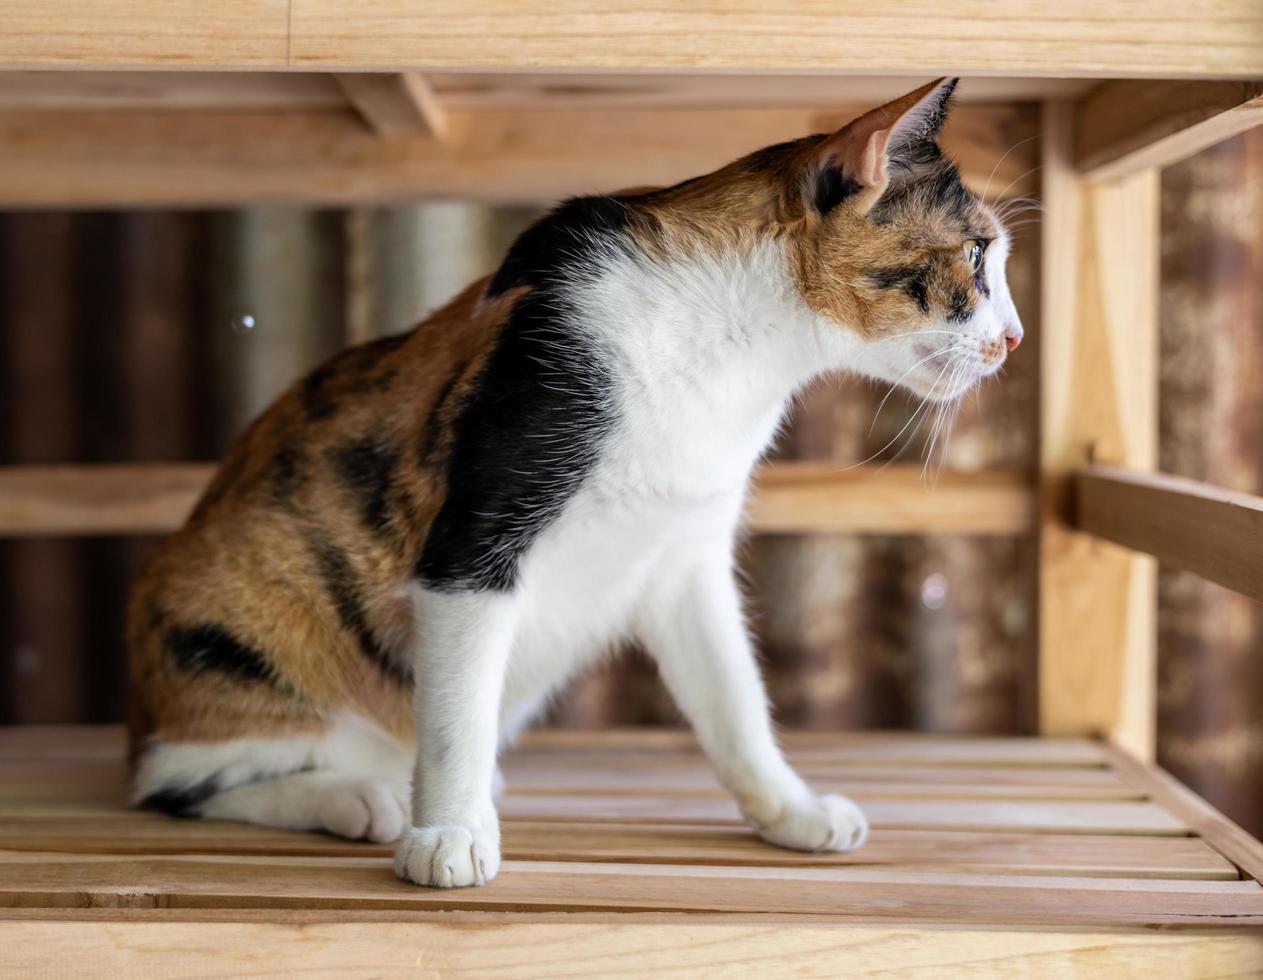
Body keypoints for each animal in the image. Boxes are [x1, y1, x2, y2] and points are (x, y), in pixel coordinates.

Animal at [123, 76, 1020, 889]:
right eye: (976, 254)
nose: (1012, 338)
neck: (736, 353)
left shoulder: (685, 558)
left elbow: (733, 697)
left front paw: (790, 809)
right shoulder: (478, 531)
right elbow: (455, 715)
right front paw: (448, 836)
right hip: (239, 615)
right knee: (171, 784)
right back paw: (364, 798)